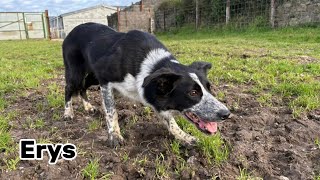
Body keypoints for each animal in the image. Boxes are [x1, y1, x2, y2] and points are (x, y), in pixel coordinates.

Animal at [62, 22, 230, 146]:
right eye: (193, 93)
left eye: (209, 88)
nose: (226, 114)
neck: (153, 64)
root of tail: (71, 31)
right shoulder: (105, 80)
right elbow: (111, 112)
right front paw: (115, 136)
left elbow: (170, 121)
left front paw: (184, 136)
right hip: (76, 72)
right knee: (69, 88)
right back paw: (68, 113)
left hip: (92, 76)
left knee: (82, 87)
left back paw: (88, 106)